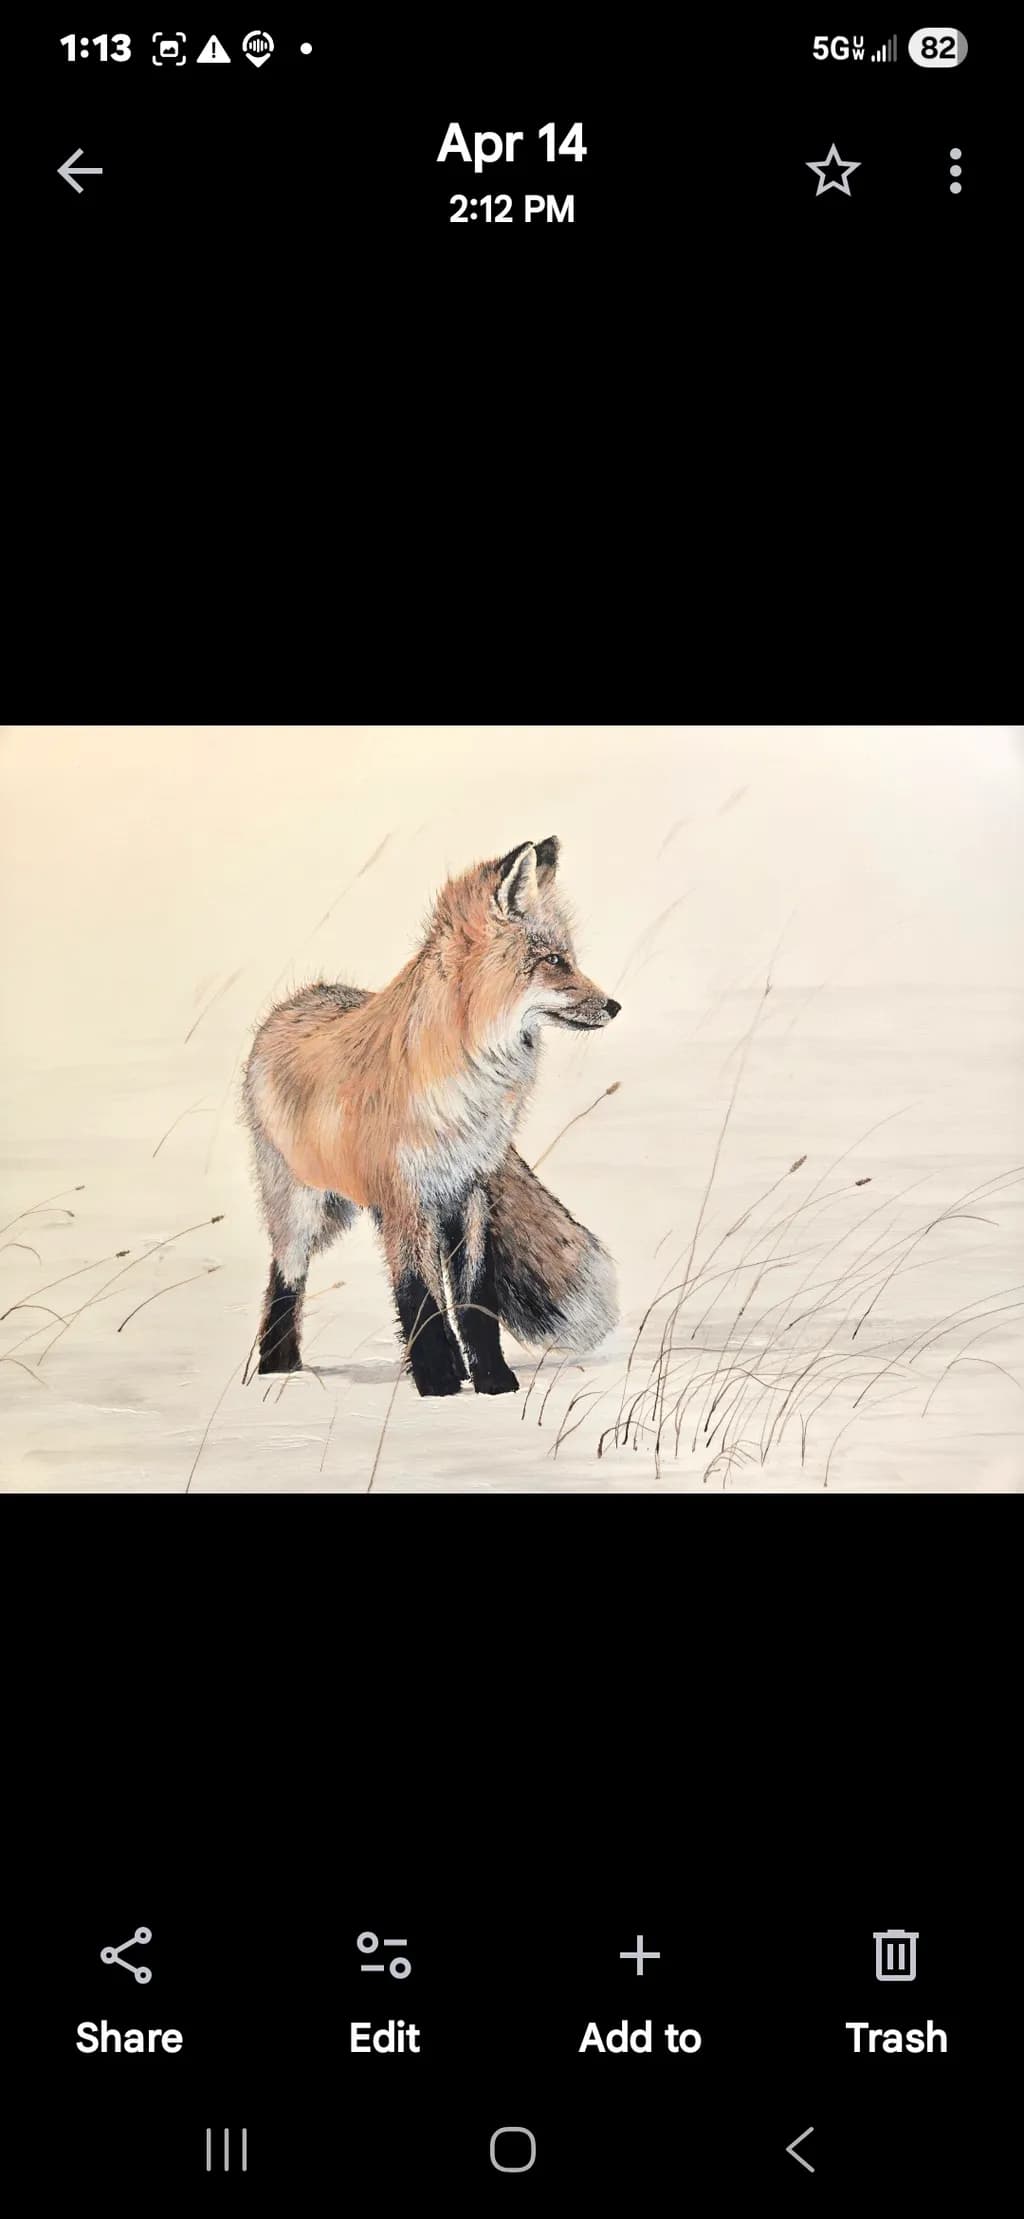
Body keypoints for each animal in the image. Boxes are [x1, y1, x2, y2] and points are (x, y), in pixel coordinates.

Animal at [242, 836, 621, 1396]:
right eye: (554, 960)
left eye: (568, 958)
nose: (614, 1006)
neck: (466, 1095)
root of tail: (299, 998)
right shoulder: (404, 1196)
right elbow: (416, 1295)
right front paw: (439, 1383)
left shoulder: (469, 1192)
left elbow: (473, 1299)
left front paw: (490, 1381)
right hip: (308, 1206)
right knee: (286, 1275)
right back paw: (277, 1365)